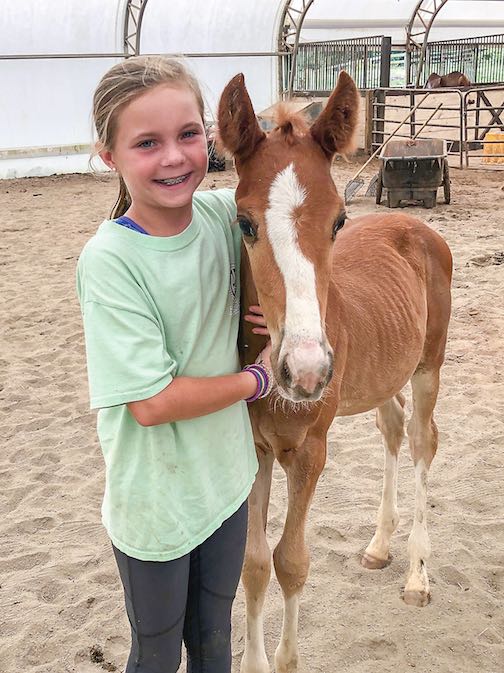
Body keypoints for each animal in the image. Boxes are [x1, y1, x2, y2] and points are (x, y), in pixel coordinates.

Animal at [219, 73, 450, 672]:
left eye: (339, 221)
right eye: (245, 223)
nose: (306, 371)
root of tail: (414, 223)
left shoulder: (310, 451)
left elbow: (292, 560)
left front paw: (285, 659)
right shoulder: (255, 448)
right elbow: (254, 562)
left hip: (428, 366)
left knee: (422, 440)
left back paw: (417, 576)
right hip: (383, 375)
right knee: (392, 428)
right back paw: (378, 547)